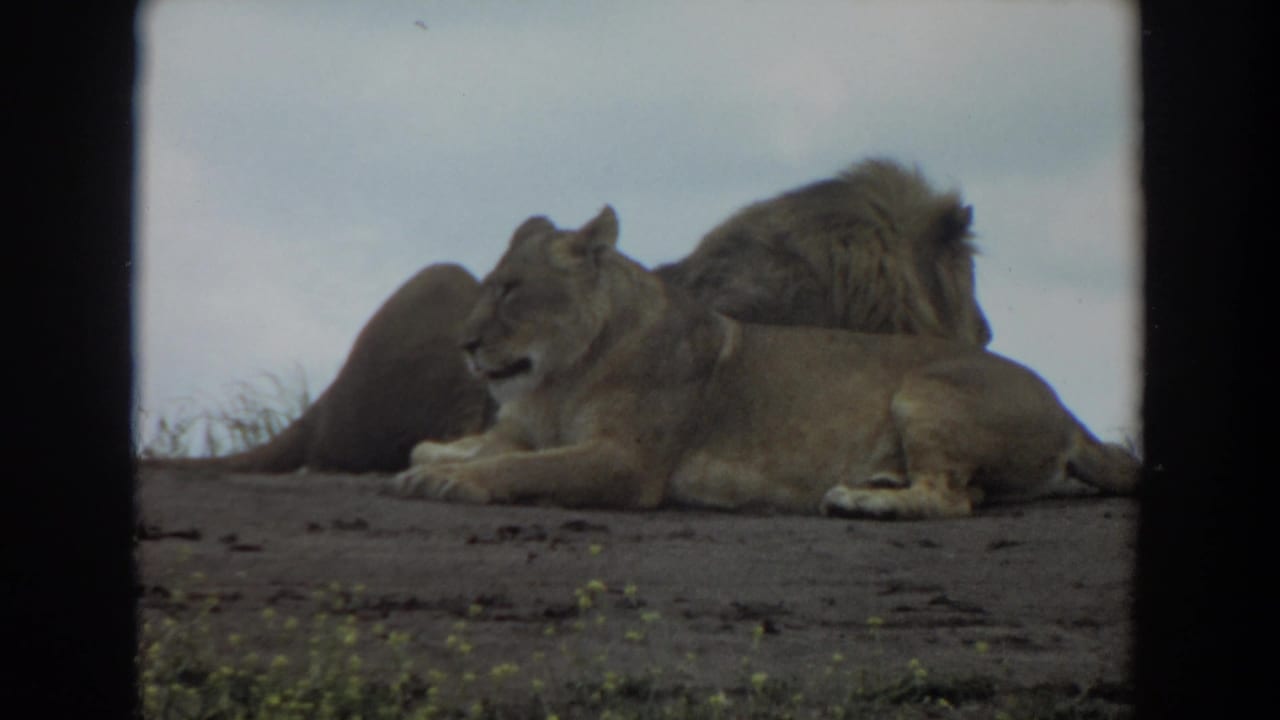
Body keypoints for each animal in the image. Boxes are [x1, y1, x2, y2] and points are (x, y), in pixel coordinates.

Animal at [386, 206, 1138, 519]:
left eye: (511, 291)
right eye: (487, 285)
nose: (465, 344)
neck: (558, 377)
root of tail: (1069, 412)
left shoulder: (629, 462)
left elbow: (524, 467)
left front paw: (455, 479)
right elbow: (466, 446)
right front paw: (438, 458)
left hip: (927, 391)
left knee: (951, 500)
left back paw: (865, 501)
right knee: (969, 492)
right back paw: (872, 481)